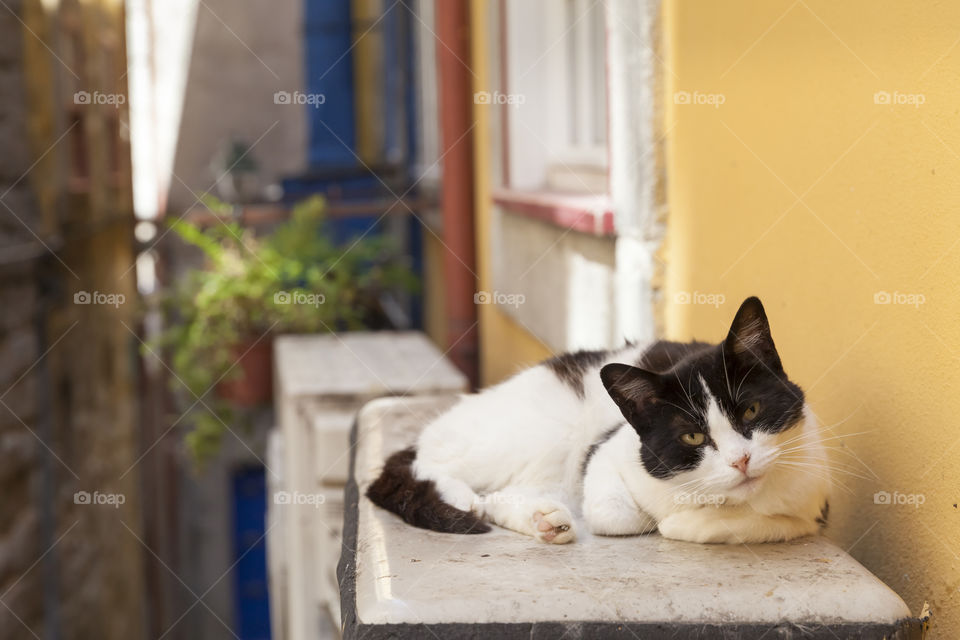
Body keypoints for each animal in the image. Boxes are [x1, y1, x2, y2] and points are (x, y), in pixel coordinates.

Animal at [364, 298, 828, 544]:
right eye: (693, 436)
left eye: (751, 411)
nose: (740, 461)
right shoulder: (606, 452)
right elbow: (619, 515)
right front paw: (672, 520)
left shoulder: (812, 498)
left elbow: (779, 523)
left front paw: (693, 522)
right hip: (534, 433)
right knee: (427, 468)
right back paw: (464, 497)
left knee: (503, 494)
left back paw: (544, 520)